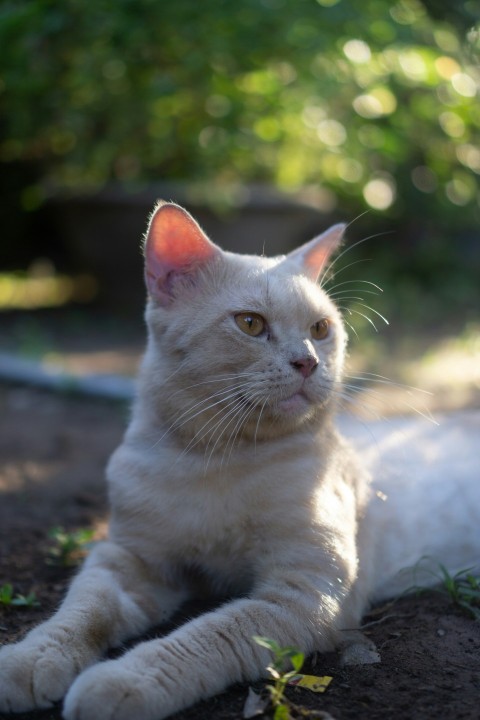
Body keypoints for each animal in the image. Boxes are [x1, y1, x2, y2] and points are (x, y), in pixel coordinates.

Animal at [0, 202, 478, 720]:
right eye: (250, 324)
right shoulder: (126, 559)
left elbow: (207, 635)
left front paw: (123, 681)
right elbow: (82, 611)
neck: (212, 464)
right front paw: (29, 658)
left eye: (320, 329)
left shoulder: (303, 594)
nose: (308, 362)